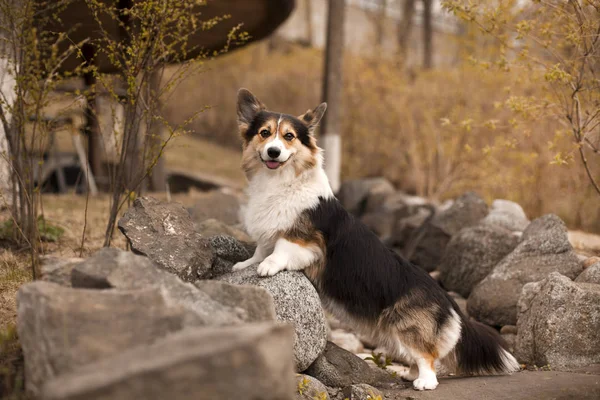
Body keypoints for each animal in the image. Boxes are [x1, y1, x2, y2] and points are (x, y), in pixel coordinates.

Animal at [232, 90, 516, 390]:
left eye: (289, 136)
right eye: (264, 133)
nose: (273, 151)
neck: (278, 181)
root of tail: (448, 300)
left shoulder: (304, 239)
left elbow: (281, 249)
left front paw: (268, 266)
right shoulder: (269, 231)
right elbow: (262, 248)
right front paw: (245, 264)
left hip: (406, 327)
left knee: (427, 356)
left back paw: (424, 382)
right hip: (393, 334)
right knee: (416, 358)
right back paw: (410, 375)